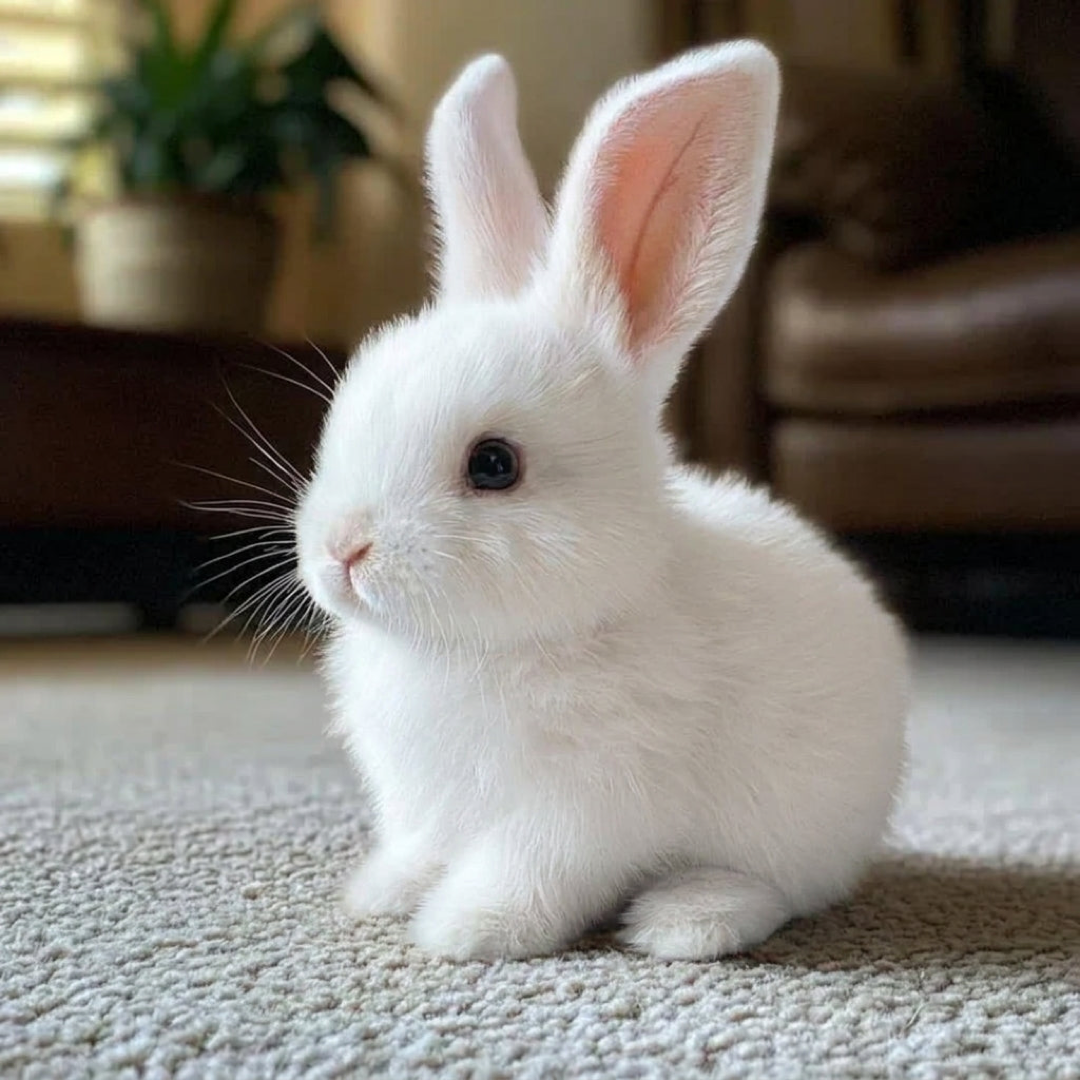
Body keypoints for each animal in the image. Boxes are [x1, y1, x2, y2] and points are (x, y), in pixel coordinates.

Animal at [295, 40, 909, 961]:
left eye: (494, 465)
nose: (342, 551)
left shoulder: (585, 806)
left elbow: (528, 872)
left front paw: (465, 930)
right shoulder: (425, 803)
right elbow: (424, 846)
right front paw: (384, 894)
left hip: (792, 834)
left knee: (773, 889)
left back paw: (687, 920)